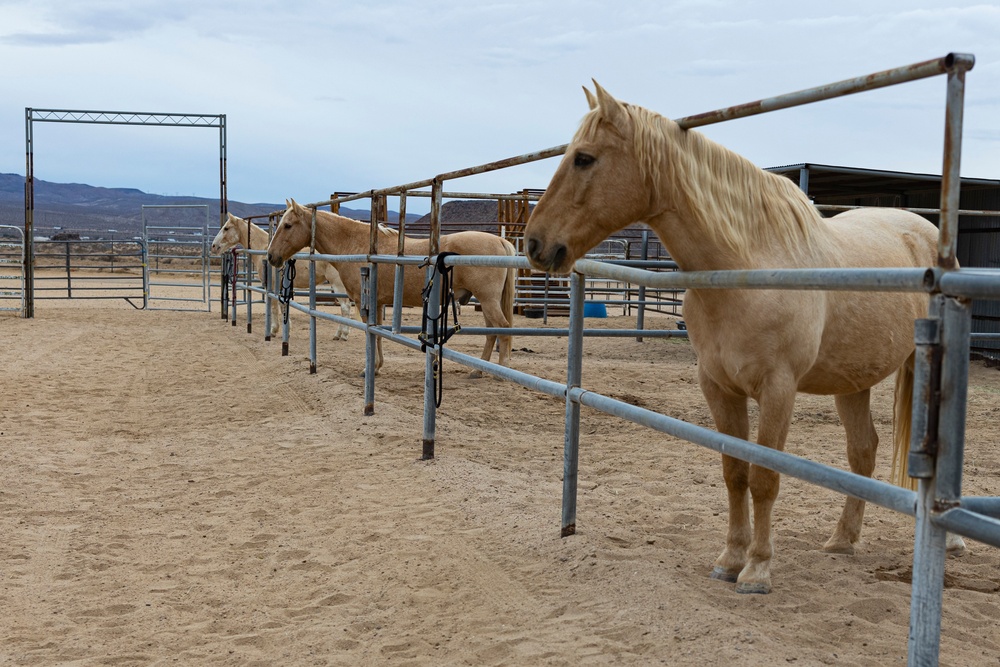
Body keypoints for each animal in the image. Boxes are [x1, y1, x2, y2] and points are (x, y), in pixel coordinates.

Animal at [209, 213, 354, 340]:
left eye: (226, 228)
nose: (214, 246)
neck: (264, 249)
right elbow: (282, 305)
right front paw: (287, 330)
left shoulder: (272, 285)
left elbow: (273, 306)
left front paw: (273, 330)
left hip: (338, 285)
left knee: (345, 307)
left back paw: (342, 335)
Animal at [266, 198, 516, 376]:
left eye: (287, 225)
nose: (271, 257)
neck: (357, 245)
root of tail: (500, 241)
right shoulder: (377, 303)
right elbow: (377, 334)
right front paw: (377, 367)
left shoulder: (365, 302)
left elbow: (372, 334)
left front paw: (370, 368)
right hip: (485, 301)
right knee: (491, 332)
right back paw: (478, 370)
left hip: (488, 300)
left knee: (502, 329)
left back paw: (500, 370)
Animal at [520, 82, 964, 596]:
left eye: (584, 158)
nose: (534, 244)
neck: (746, 266)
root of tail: (930, 236)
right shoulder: (718, 387)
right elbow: (734, 472)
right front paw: (730, 560)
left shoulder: (778, 390)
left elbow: (764, 477)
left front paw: (757, 570)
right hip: (853, 380)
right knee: (863, 451)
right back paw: (842, 540)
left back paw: (953, 543)